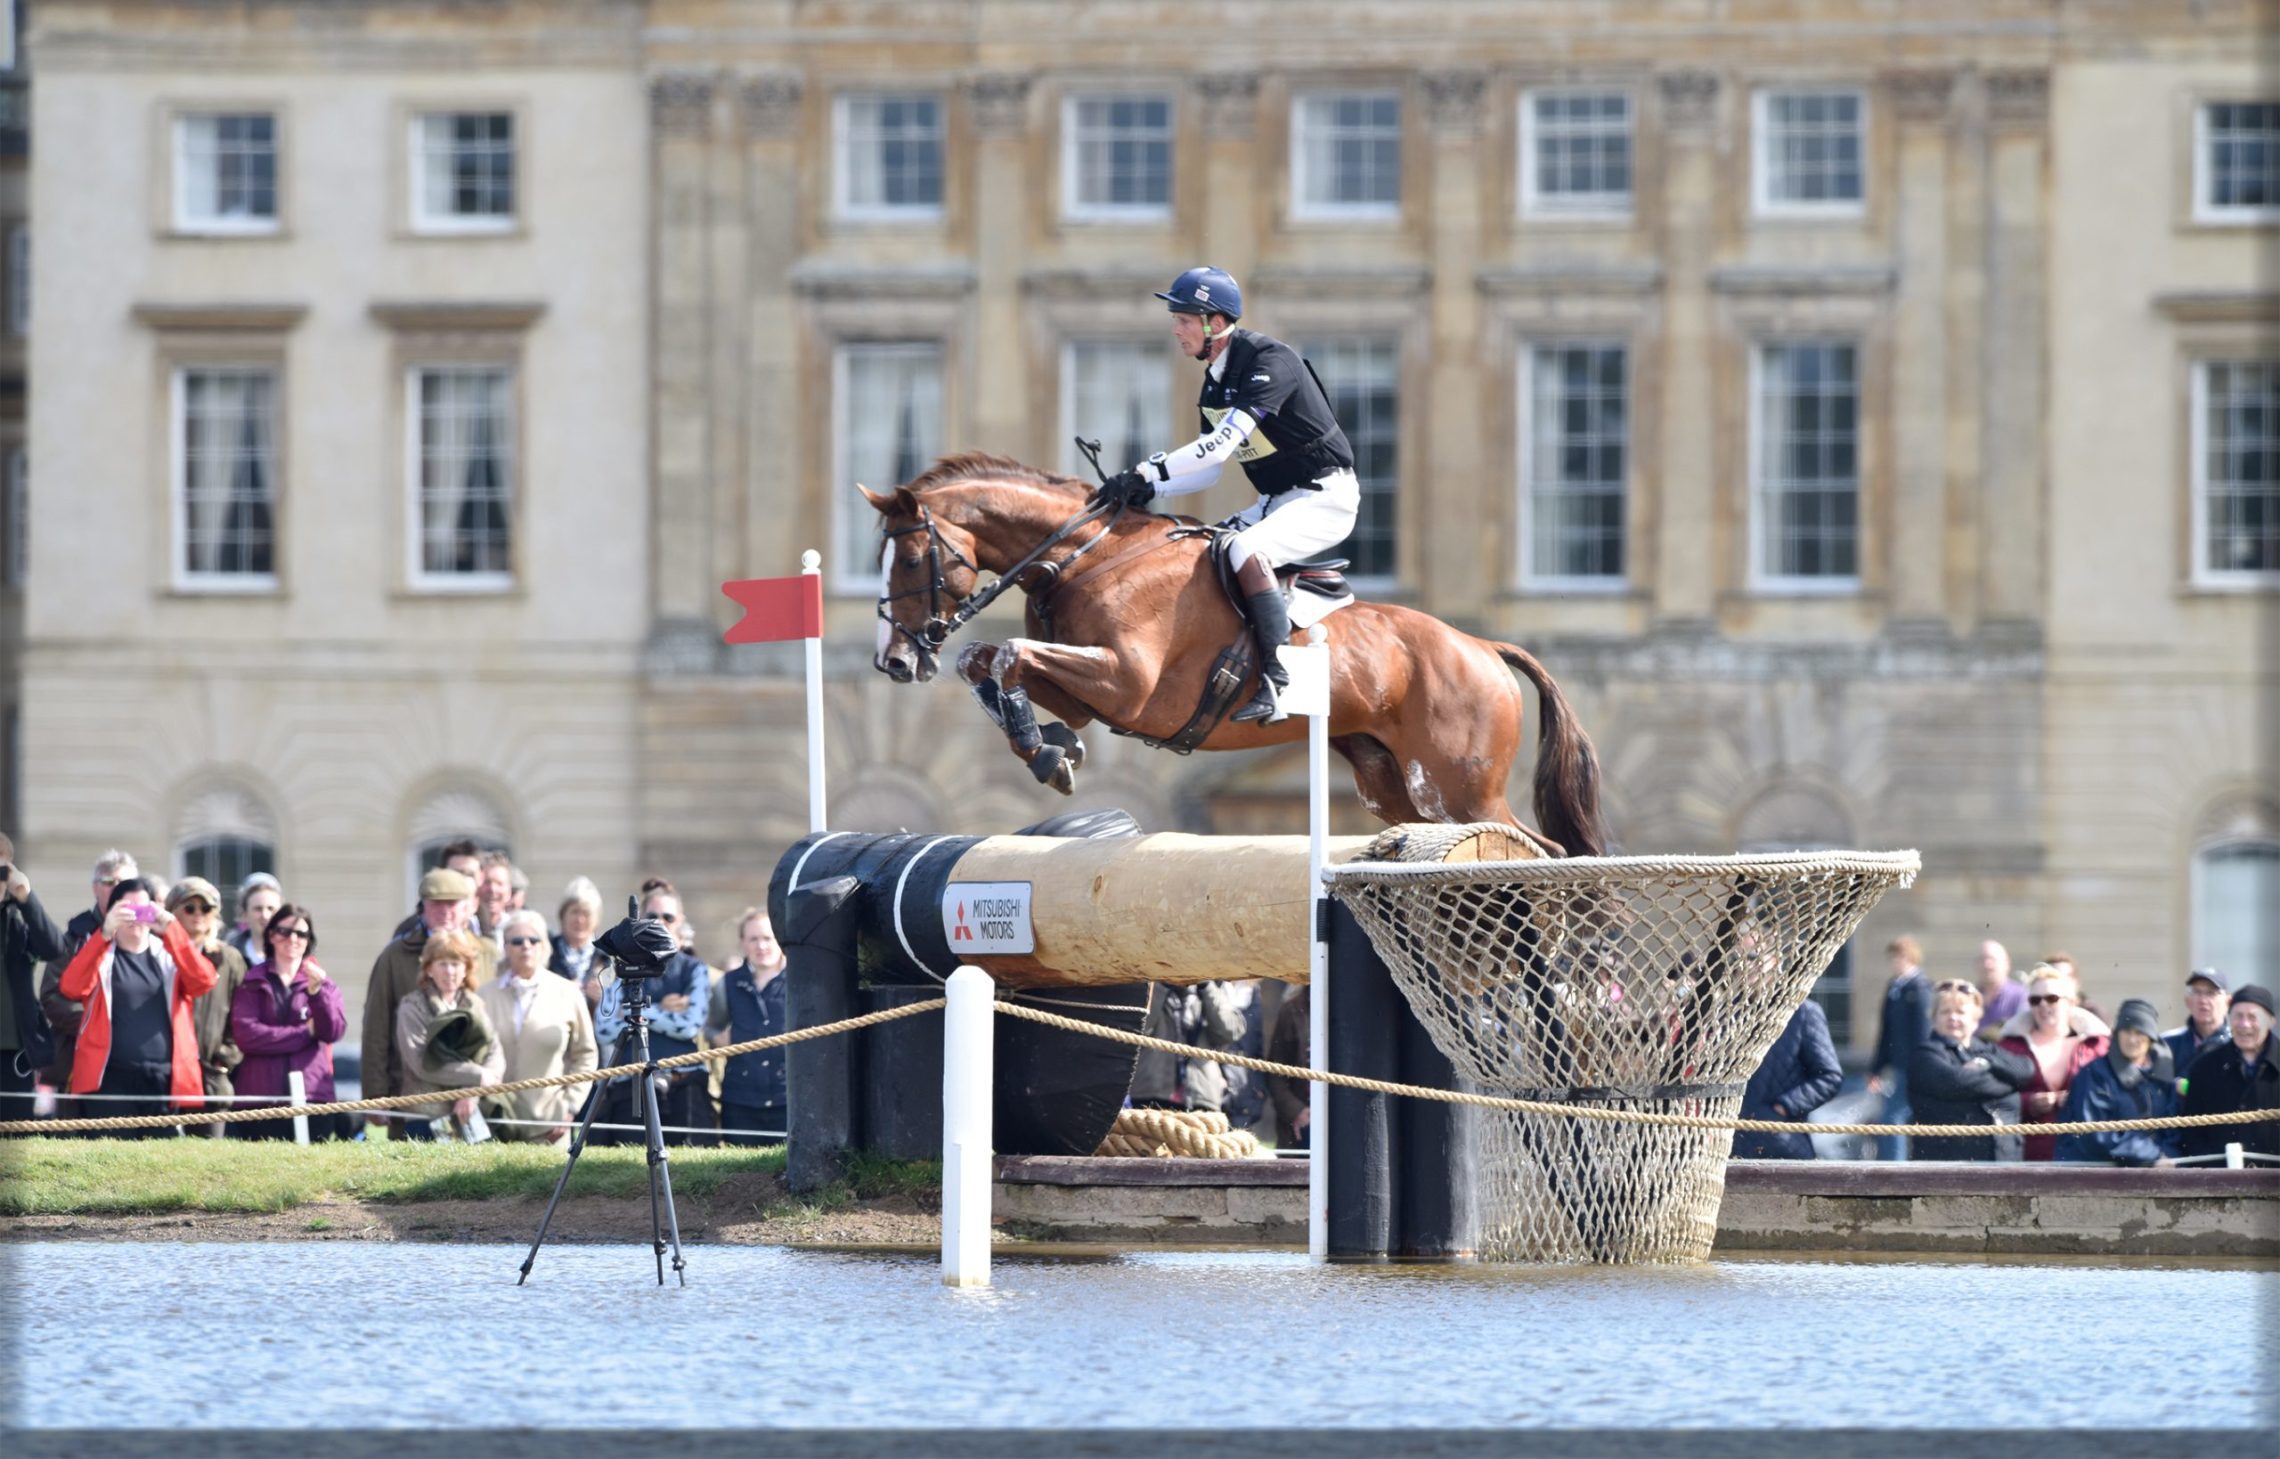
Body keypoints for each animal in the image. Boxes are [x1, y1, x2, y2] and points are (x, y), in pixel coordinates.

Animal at [863, 452, 1605, 855]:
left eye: (910, 559)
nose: (895, 662)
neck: (1088, 556)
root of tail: (1482, 646)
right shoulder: (1087, 693)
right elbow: (985, 660)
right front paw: (1052, 748)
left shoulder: (1128, 686)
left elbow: (1009, 653)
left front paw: (1046, 754)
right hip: (1400, 792)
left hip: (1460, 790)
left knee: (1543, 850)